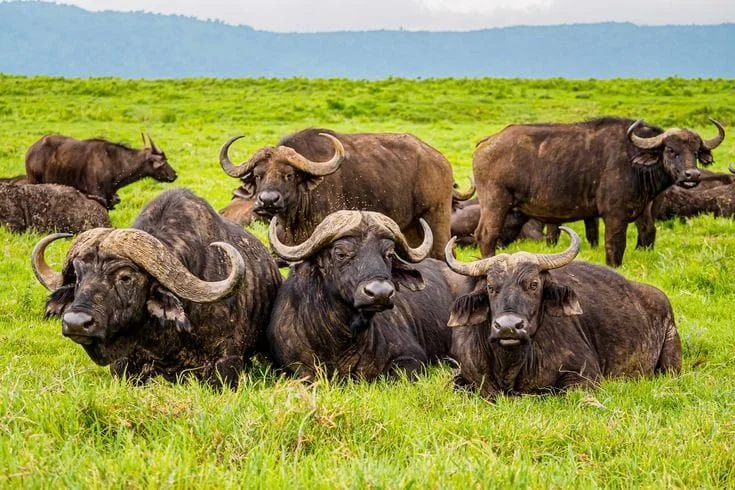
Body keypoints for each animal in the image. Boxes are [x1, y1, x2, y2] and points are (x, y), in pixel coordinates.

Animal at [219, 128, 454, 259]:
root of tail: (440, 161)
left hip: (436, 218)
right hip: (411, 228)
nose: (268, 201)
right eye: (258, 175)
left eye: (289, 175)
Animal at [473, 117, 725, 266]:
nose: (692, 175)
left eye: (695, 151)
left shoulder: (643, 209)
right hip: (495, 203)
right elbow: (615, 244)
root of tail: (487, 143)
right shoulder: (615, 215)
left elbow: (647, 233)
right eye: (671, 150)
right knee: (487, 234)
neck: (633, 160)